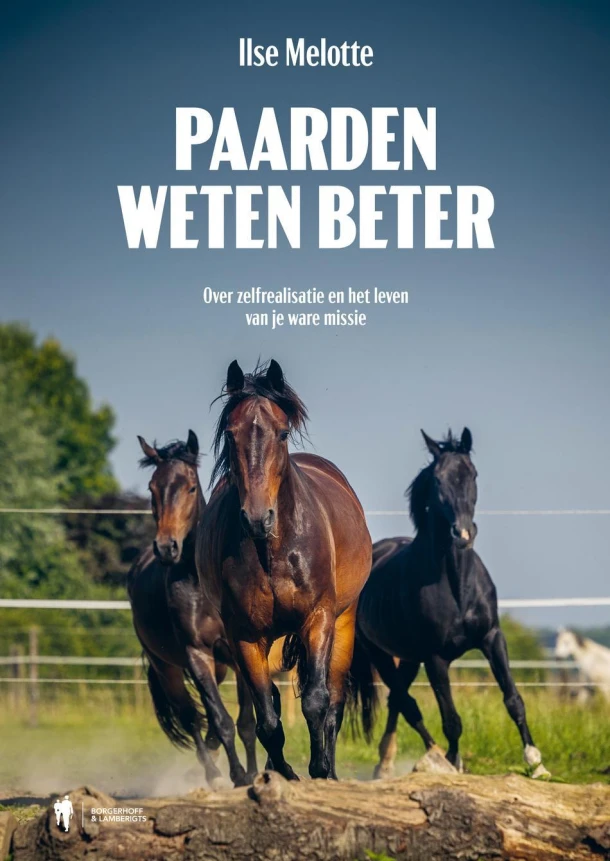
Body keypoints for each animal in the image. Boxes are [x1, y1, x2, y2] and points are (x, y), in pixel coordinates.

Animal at [127, 430, 256, 788]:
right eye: (152, 488)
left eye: (190, 488)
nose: (166, 547)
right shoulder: (196, 654)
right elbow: (221, 719)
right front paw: (236, 775)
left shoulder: (238, 653)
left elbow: (245, 722)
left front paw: (254, 773)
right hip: (166, 667)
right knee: (191, 718)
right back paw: (211, 772)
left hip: (220, 665)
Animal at [196, 359, 372, 780]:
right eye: (231, 433)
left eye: (282, 431)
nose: (257, 518)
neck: (272, 550)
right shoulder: (244, 635)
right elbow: (267, 718)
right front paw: (284, 773)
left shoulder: (318, 618)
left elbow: (317, 702)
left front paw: (320, 769)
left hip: (343, 623)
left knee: (334, 700)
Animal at [349, 428, 550, 779]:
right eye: (438, 479)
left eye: (473, 474)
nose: (464, 533)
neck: (458, 588)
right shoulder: (436, 659)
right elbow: (452, 720)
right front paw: (455, 763)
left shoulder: (492, 638)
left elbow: (513, 699)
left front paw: (536, 763)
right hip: (380, 654)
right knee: (406, 703)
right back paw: (428, 759)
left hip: (408, 658)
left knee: (397, 702)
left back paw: (387, 763)